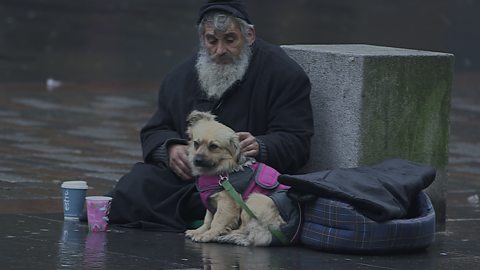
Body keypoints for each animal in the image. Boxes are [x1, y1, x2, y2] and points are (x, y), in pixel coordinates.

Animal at [185, 110, 286, 246]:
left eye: (213, 146)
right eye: (196, 143)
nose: (197, 160)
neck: (221, 171)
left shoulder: (227, 203)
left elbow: (217, 221)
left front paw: (208, 234)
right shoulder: (210, 203)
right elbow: (208, 219)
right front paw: (199, 231)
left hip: (254, 200)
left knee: (246, 229)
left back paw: (230, 235)